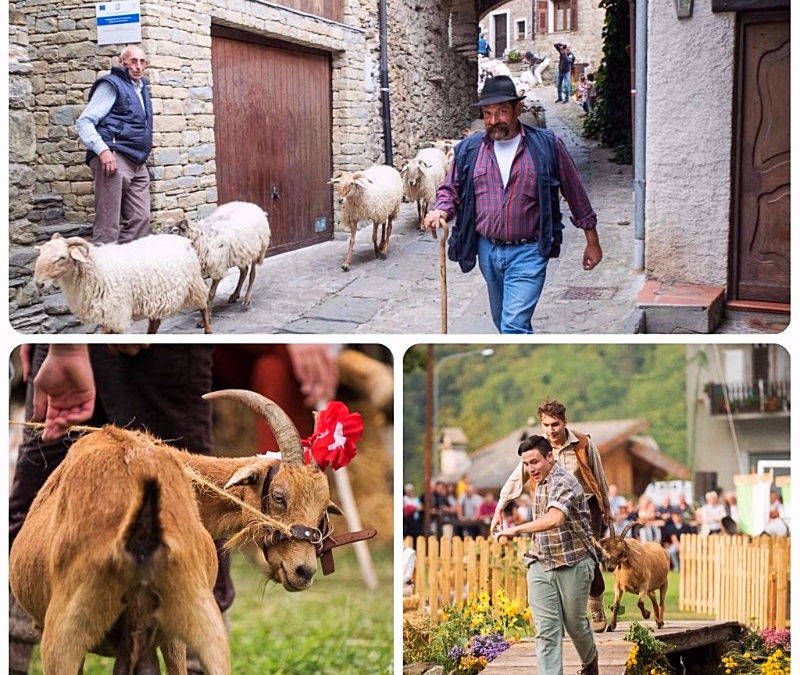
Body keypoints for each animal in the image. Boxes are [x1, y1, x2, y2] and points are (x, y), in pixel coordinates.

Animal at [33, 235, 212, 336]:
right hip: (158, 295)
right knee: (155, 321)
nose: (39, 283)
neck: (95, 267)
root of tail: (183, 240)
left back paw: (208, 330)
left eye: (62, 257)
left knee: (204, 305)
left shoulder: (115, 311)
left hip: (194, 283)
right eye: (40, 253)